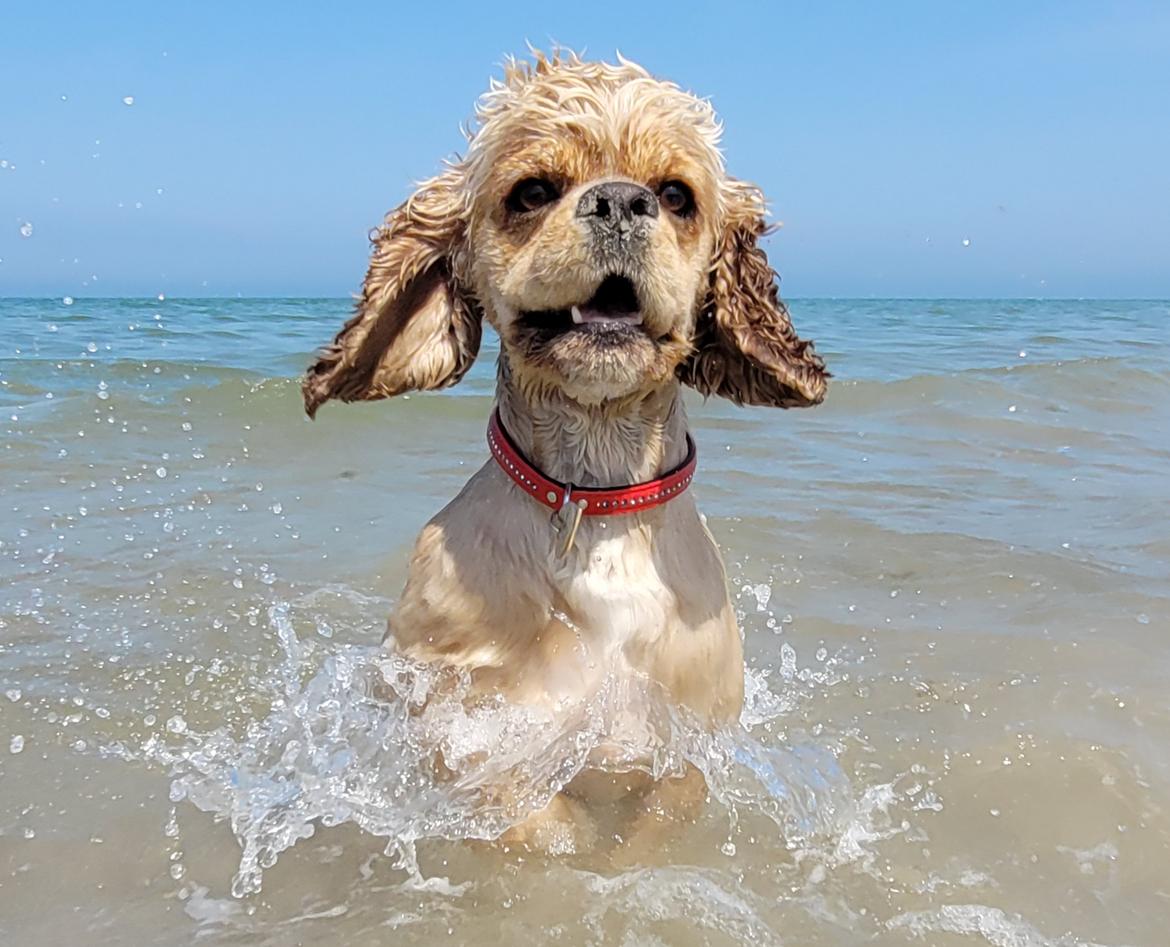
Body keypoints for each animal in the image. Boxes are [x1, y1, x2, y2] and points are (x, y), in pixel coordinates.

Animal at [306, 51, 828, 856]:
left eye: (675, 195)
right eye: (532, 192)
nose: (619, 202)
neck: (597, 504)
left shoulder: (687, 746)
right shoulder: (467, 729)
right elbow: (530, 814)